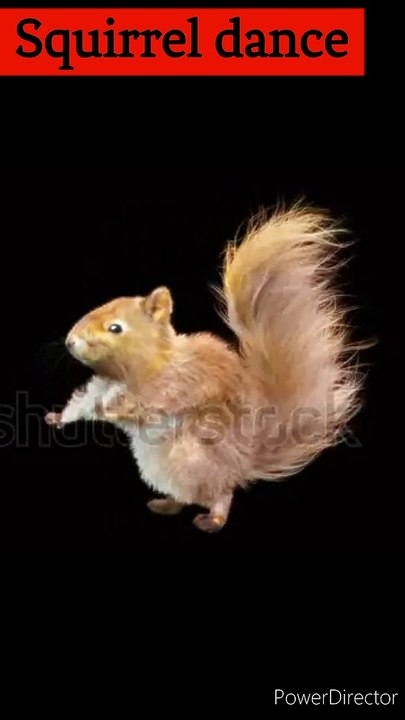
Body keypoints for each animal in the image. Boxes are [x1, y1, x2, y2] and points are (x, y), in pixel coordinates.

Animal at [45, 204, 363, 532]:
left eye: (115, 328)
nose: (70, 341)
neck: (133, 371)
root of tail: (244, 462)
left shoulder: (176, 383)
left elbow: (147, 404)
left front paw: (112, 410)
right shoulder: (101, 386)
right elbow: (81, 403)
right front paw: (58, 417)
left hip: (196, 457)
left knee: (220, 493)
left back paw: (214, 519)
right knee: (188, 494)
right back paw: (167, 503)